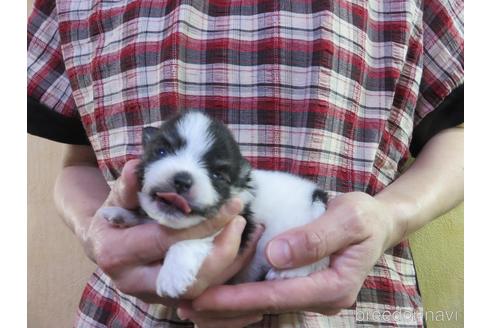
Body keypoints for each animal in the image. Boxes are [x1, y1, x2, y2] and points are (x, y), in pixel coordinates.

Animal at [98, 111, 330, 298]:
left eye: (216, 175)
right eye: (161, 152)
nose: (182, 180)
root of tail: (316, 194)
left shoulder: (237, 222)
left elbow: (192, 237)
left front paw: (172, 274)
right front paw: (122, 214)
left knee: (318, 261)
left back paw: (286, 273)